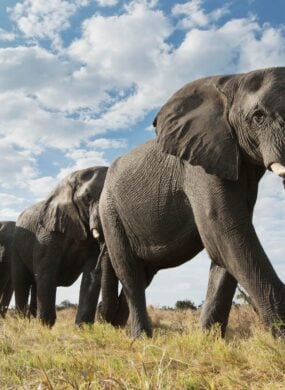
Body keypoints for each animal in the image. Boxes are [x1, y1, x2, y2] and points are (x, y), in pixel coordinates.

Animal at [11, 166, 108, 328]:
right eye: (88, 197)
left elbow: (90, 275)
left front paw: (83, 329)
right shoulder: (48, 232)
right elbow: (47, 271)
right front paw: (45, 328)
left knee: (35, 284)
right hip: (16, 247)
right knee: (22, 281)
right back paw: (22, 321)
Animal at [99, 68, 285, 338]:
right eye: (258, 117)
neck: (234, 80)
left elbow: (226, 245)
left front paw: (209, 339)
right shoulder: (199, 165)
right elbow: (226, 231)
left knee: (143, 274)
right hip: (110, 211)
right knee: (129, 272)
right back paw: (140, 338)